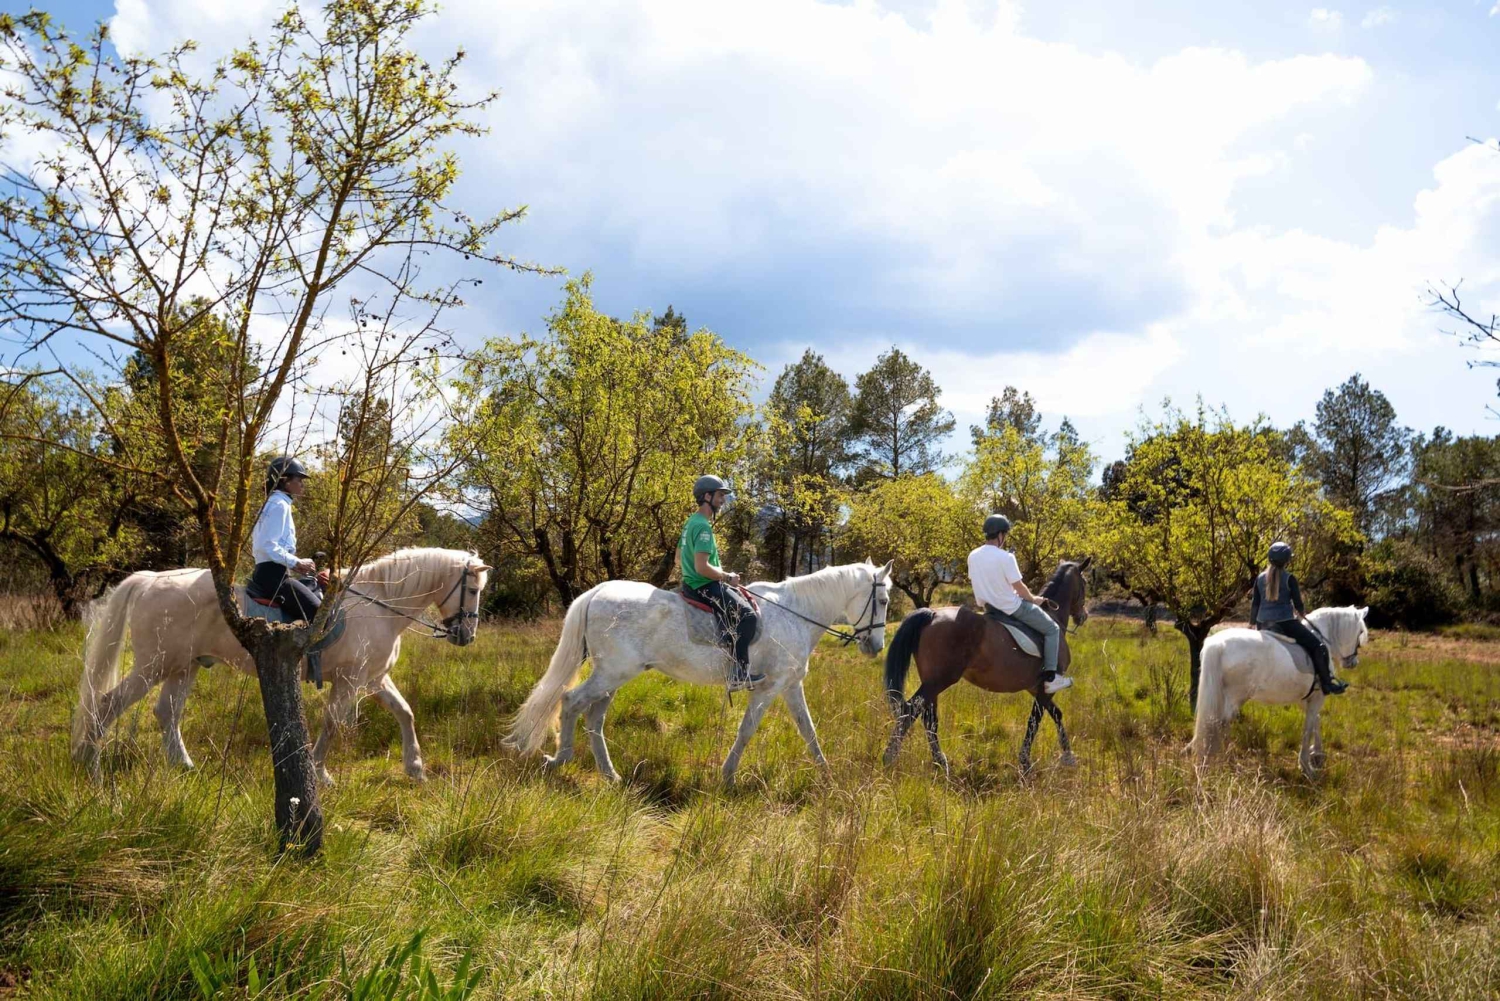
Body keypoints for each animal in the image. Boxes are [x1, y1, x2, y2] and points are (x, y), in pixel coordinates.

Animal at [71, 548, 490, 785]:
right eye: (472, 589)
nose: (466, 636)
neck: (380, 603)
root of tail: (150, 580)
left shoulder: (373, 679)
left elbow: (405, 713)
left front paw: (415, 768)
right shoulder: (351, 680)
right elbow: (333, 724)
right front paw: (320, 773)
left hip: (183, 666)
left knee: (166, 712)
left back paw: (184, 767)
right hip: (153, 665)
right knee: (108, 704)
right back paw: (90, 767)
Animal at [506, 561, 893, 786]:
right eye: (884, 601)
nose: (876, 646)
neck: (795, 612)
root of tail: (598, 591)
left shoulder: (790, 685)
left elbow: (808, 730)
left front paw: (826, 774)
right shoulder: (768, 688)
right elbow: (747, 730)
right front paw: (727, 777)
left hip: (613, 676)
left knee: (593, 716)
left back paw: (610, 774)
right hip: (613, 672)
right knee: (571, 701)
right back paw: (561, 759)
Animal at [881, 558, 1092, 777]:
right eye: (1085, 583)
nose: (1083, 615)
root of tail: (932, 614)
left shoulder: (1037, 688)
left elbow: (1056, 714)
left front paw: (1068, 756)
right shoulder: (1045, 689)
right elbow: (1034, 721)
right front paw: (1025, 763)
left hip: (931, 682)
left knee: (928, 718)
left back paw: (940, 763)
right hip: (939, 681)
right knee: (910, 710)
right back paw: (890, 757)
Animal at [1189, 606, 1368, 779]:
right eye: (1360, 632)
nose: (1353, 662)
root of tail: (1219, 644)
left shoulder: (1305, 699)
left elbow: (1316, 720)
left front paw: (1317, 754)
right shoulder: (1317, 697)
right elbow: (1309, 726)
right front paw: (1307, 766)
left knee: (1216, 723)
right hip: (1235, 698)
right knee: (1221, 724)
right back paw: (1228, 760)